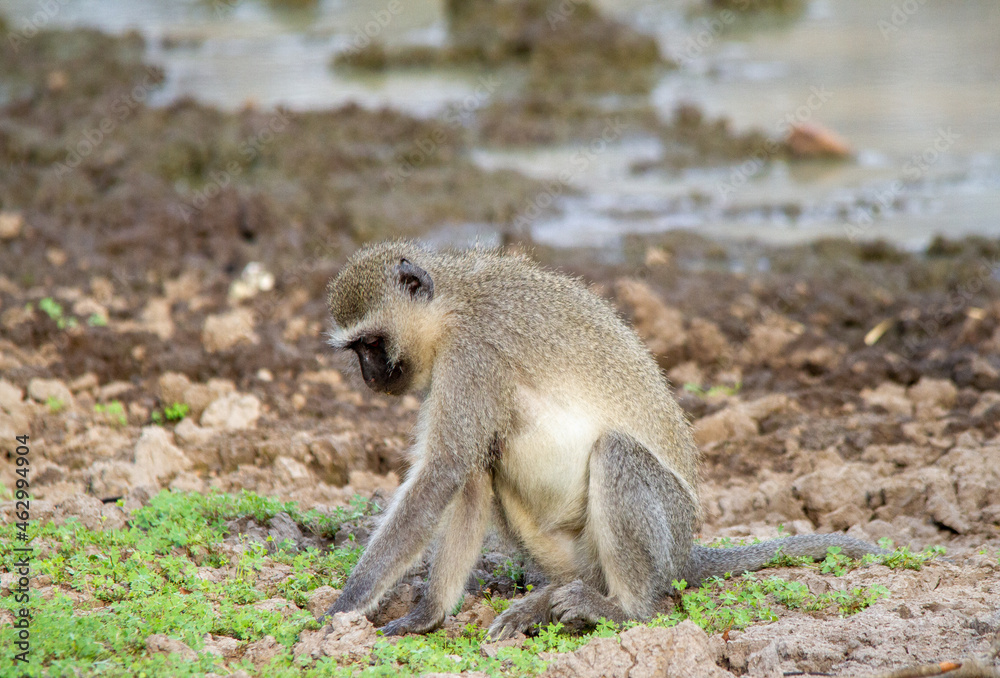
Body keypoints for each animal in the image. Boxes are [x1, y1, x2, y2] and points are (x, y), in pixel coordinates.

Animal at [320, 242, 884, 640]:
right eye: (357, 350)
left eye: (371, 344)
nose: (368, 377)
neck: (452, 305)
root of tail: (685, 551)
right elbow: (461, 472)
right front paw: (428, 615)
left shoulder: (472, 356)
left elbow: (443, 470)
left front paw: (345, 606)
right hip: (571, 552)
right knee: (487, 466)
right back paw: (553, 600)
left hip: (665, 527)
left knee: (616, 454)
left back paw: (622, 609)